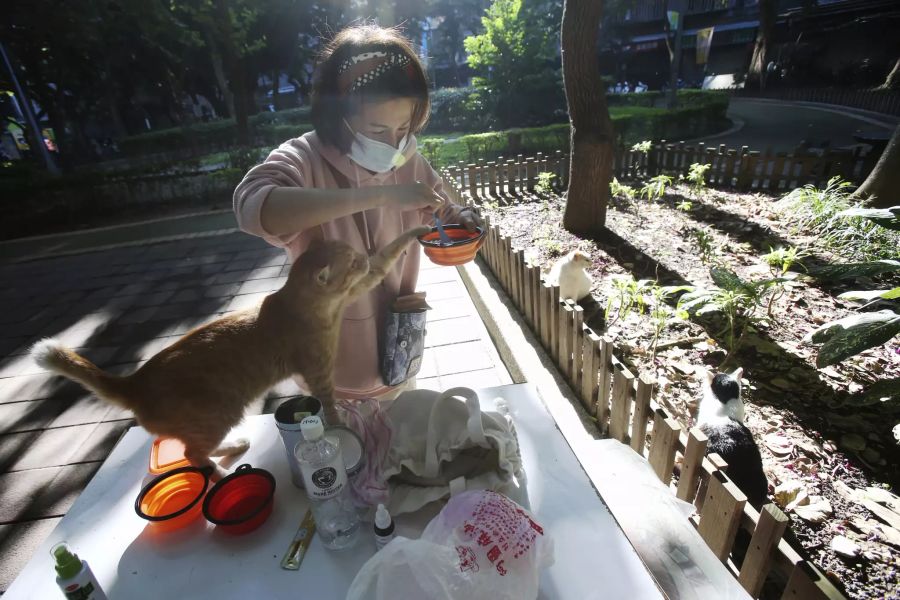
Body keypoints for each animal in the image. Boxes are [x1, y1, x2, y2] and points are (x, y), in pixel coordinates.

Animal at [31, 225, 432, 478]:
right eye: (350, 262)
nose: (361, 256)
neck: (307, 305)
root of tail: (135, 382)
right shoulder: (319, 373)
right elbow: (329, 408)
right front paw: (340, 427)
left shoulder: (362, 283)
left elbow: (388, 254)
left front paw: (420, 227)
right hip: (218, 413)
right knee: (193, 455)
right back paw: (221, 473)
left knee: (195, 449)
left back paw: (233, 446)